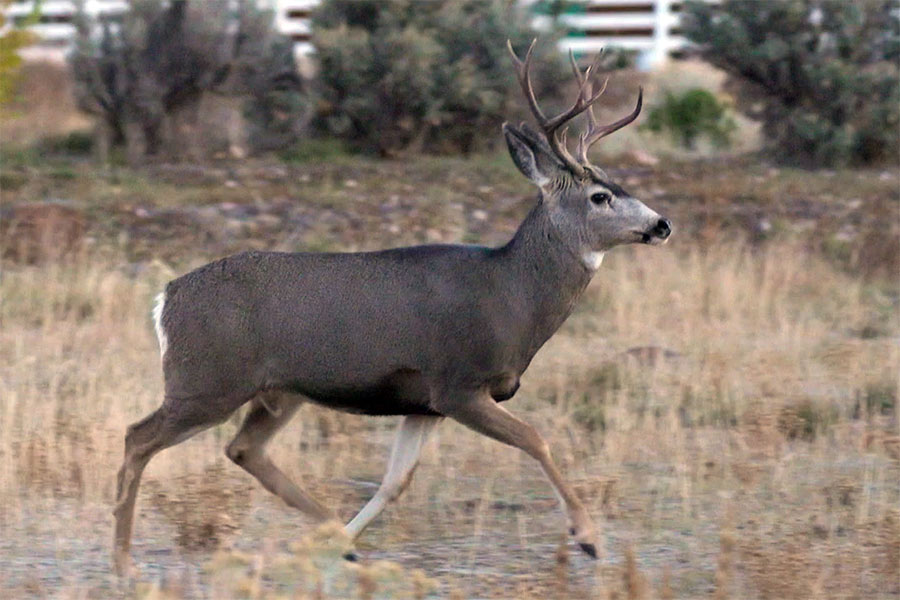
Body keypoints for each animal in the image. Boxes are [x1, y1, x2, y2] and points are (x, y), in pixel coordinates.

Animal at [112, 39, 672, 576]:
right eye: (600, 196)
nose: (662, 224)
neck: (512, 293)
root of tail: (166, 299)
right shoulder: (457, 383)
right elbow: (536, 439)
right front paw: (589, 538)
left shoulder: (422, 404)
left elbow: (394, 482)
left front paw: (346, 542)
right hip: (207, 380)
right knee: (138, 438)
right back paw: (124, 560)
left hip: (278, 390)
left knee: (242, 449)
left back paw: (334, 540)